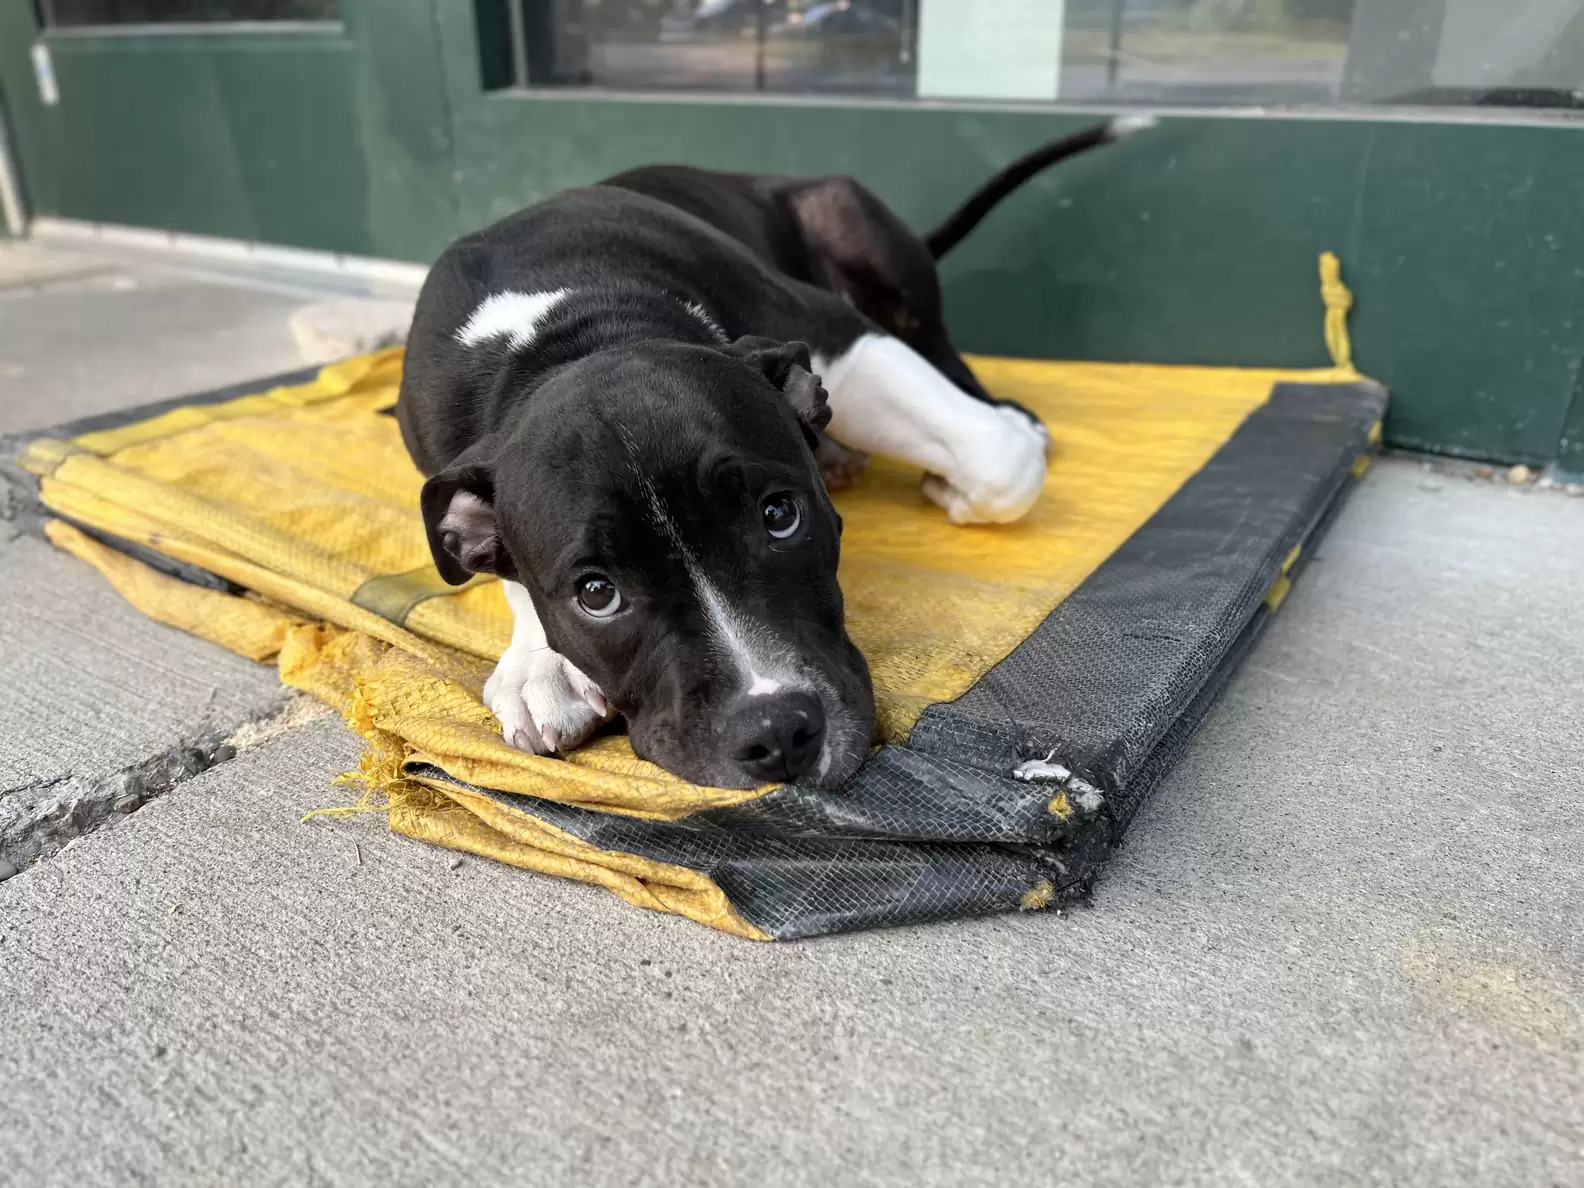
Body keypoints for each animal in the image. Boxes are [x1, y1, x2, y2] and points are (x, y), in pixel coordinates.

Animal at [396, 116, 1153, 795]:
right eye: (596, 593)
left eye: (779, 515)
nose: (777, 730)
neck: (572, 334)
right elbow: (508, 565)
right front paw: (541, 665)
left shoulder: (838, 335)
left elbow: (995, 459)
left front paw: (961, 475)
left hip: (853, 223)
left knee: (947, 357)